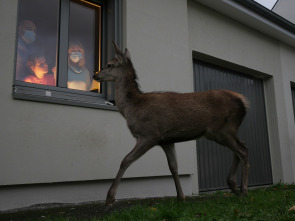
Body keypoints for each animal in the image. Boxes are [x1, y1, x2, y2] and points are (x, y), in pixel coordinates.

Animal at [93, 41, 251, 211]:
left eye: (109, 64)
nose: (95, 75)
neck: (134, 107)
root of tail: (243, 102)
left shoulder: (150, 134)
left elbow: (125, 160)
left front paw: (109, 200)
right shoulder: (167, 140)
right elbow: (173, 167)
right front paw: (181, 197)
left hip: (223, 129)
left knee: (242, 150)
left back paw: (244, 191)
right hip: (221, 132)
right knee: (241, 146)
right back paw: (233, 186)